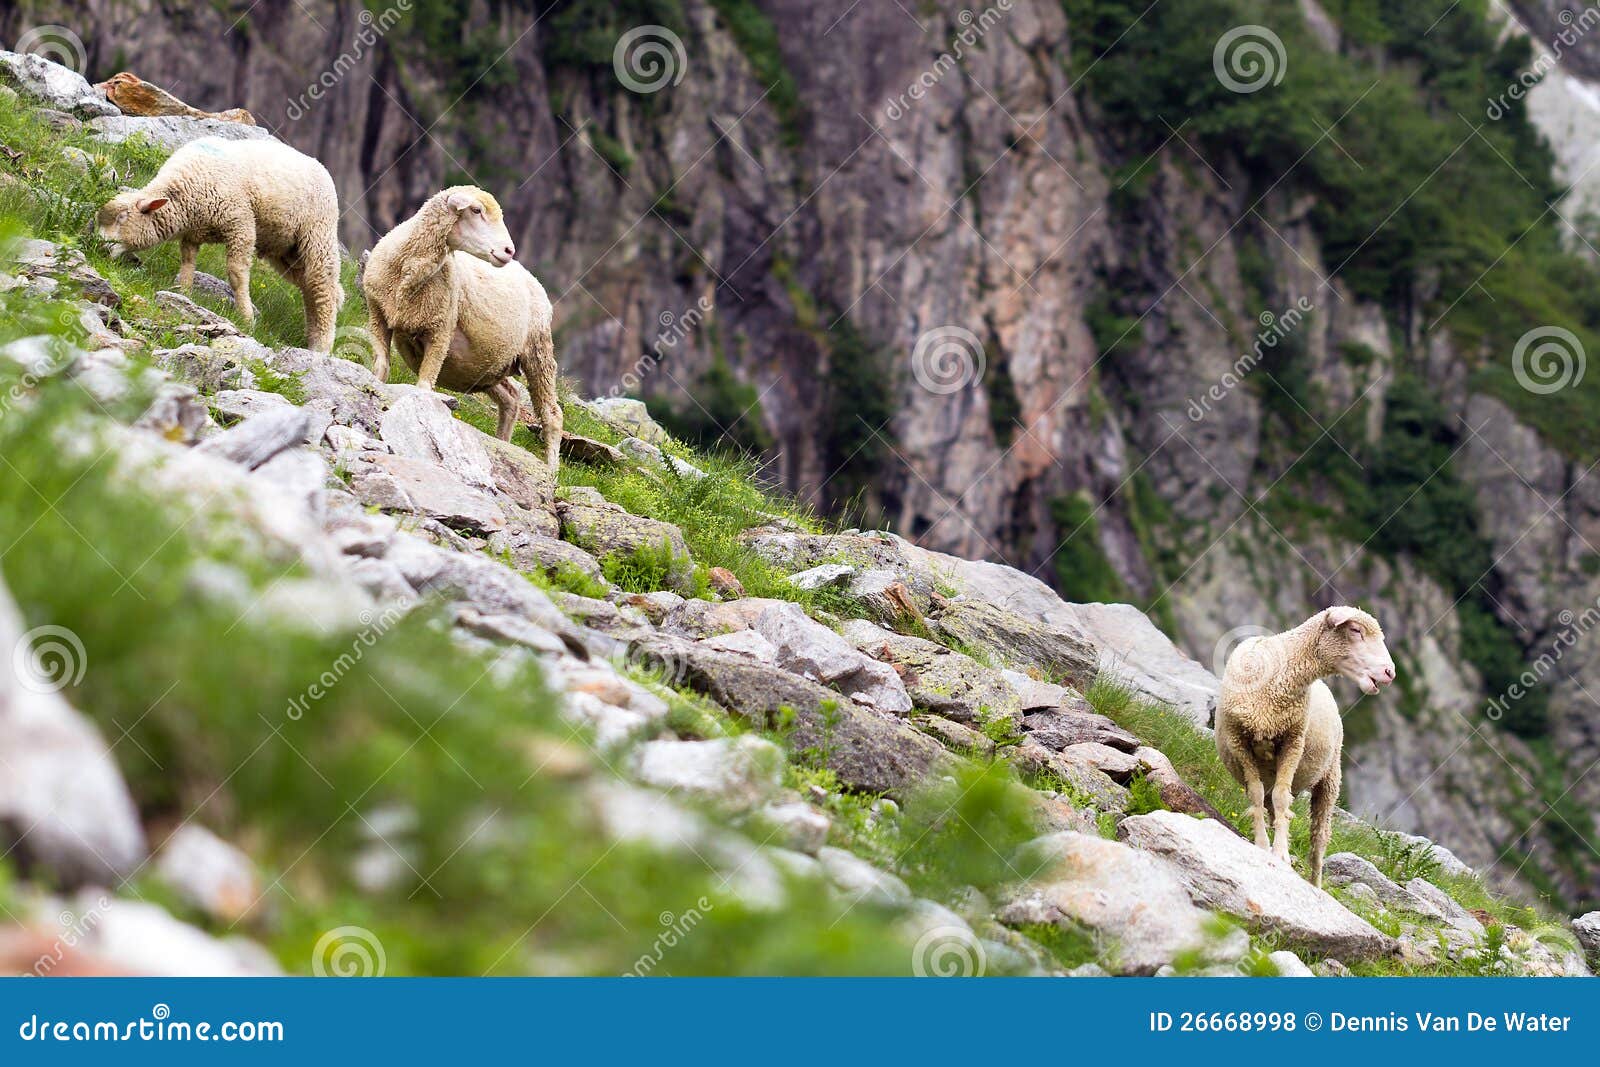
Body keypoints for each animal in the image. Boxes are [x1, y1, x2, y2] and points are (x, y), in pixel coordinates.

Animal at [96, 135, 344, 351]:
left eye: (122, 218)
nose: (99, 247)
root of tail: (320, 166)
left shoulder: (240, 224)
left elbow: (236, 275)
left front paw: (246, 318)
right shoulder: (192, 233)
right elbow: (187, 264)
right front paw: (183, 294)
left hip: (318, 233)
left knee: (323, 285)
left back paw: (321, 346)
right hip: (286, 251)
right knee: (311, 287)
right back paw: (313, 336)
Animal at [361, 187, 563, 467]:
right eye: (476, 210)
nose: (509, 250)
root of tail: (533, 279)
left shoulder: (440, 332)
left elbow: (424, 387)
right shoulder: (378, 315)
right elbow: (381, 368)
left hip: (538, 350)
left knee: (552, 414)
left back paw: (551, 469)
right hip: (486, 365)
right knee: (511, 397)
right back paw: (503, 442)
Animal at [1216, 604, 1395, 889]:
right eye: (1355, 630)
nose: (1390, 672)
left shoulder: (1293, 742)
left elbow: (1282, 798)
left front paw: (1280, 854)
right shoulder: (1238, 741)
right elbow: (1256, 795)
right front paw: (1263, 846)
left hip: (1330, 778)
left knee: (1319, 837)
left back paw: (1315, 884)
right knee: (1272, 803)